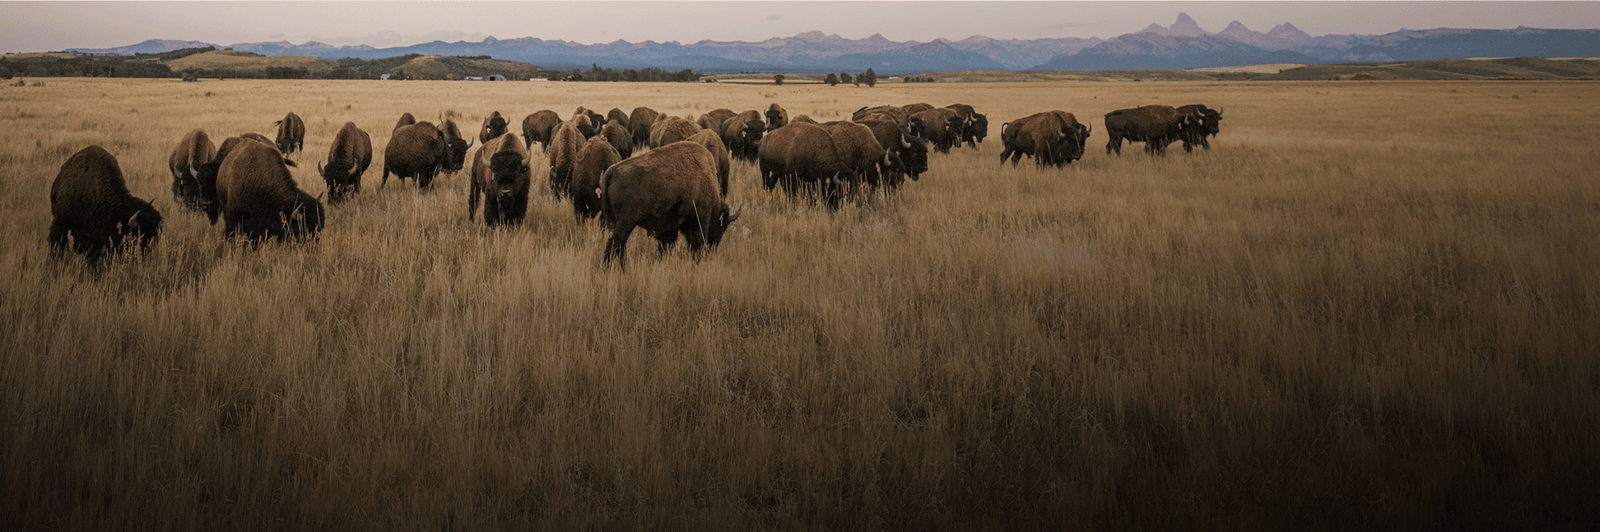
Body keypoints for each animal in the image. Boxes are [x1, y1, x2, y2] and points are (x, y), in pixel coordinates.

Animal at [599, 141, 741, 269]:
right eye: (722, 226)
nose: (713, 247)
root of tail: (612, 171)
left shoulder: (668, 227)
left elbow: (667, 245)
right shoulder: (700, 219)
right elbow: (696, 242)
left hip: (620, 223)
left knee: (619, 244)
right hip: (626, 222)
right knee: (615, 243)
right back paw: (610, 268)